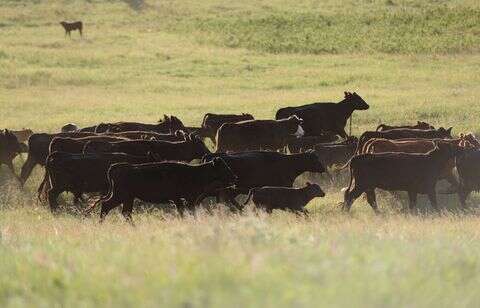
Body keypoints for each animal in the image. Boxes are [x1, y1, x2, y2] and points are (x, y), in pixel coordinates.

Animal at [90, 159, 238, 221]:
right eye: (224, 167)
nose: (235, 177)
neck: (194, 173)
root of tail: (117, 166)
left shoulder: (180, 200)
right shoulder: (186, 199)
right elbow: (188, 212)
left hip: (128, 198)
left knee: (126, 213)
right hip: (120, 196)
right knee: (107, 206)